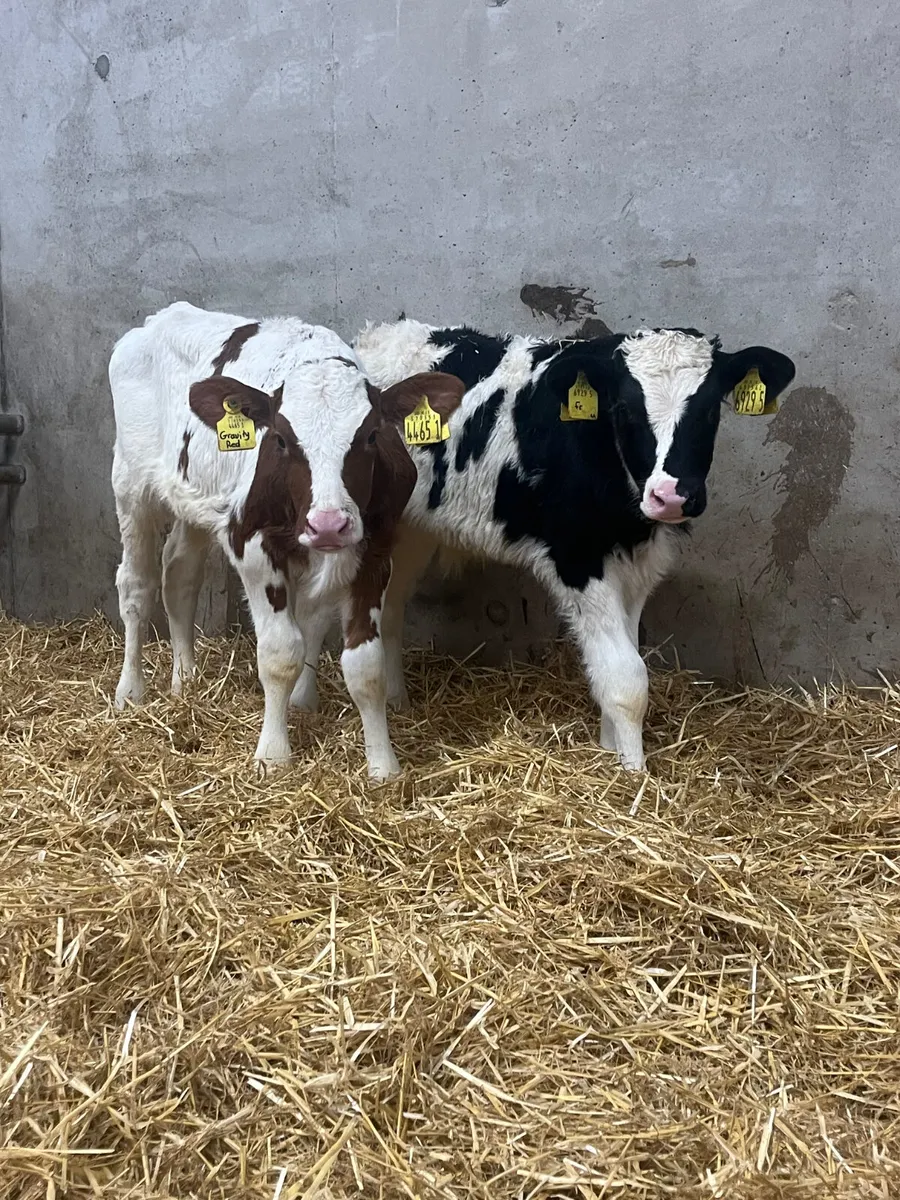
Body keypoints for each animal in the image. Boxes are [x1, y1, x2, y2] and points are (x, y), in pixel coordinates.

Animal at [108, 301, 464, 779]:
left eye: (371, 435)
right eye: (280, 439)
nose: (328, 524)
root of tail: (160, 318)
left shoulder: (376, 550)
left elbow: (364, 665)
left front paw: (383, 765)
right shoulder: (253, 544)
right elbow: (280, 654)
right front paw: (274, 754)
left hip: (193, 497)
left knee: (180, 573)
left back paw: (186, 681)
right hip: (131, 482)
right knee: (136, 585)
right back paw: (131, 690)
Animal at [287, 320, 795, 771]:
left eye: (710, 411)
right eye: (626, 410)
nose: (671, 496)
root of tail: (373, 336)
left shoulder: (638, 565)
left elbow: (617, 660)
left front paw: (610, 748)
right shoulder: (578, 561)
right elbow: (627, 678)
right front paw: (635, 775)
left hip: (412, 530)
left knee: (390, 609)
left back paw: (397, 701)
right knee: (316, 612)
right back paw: (301, 702)